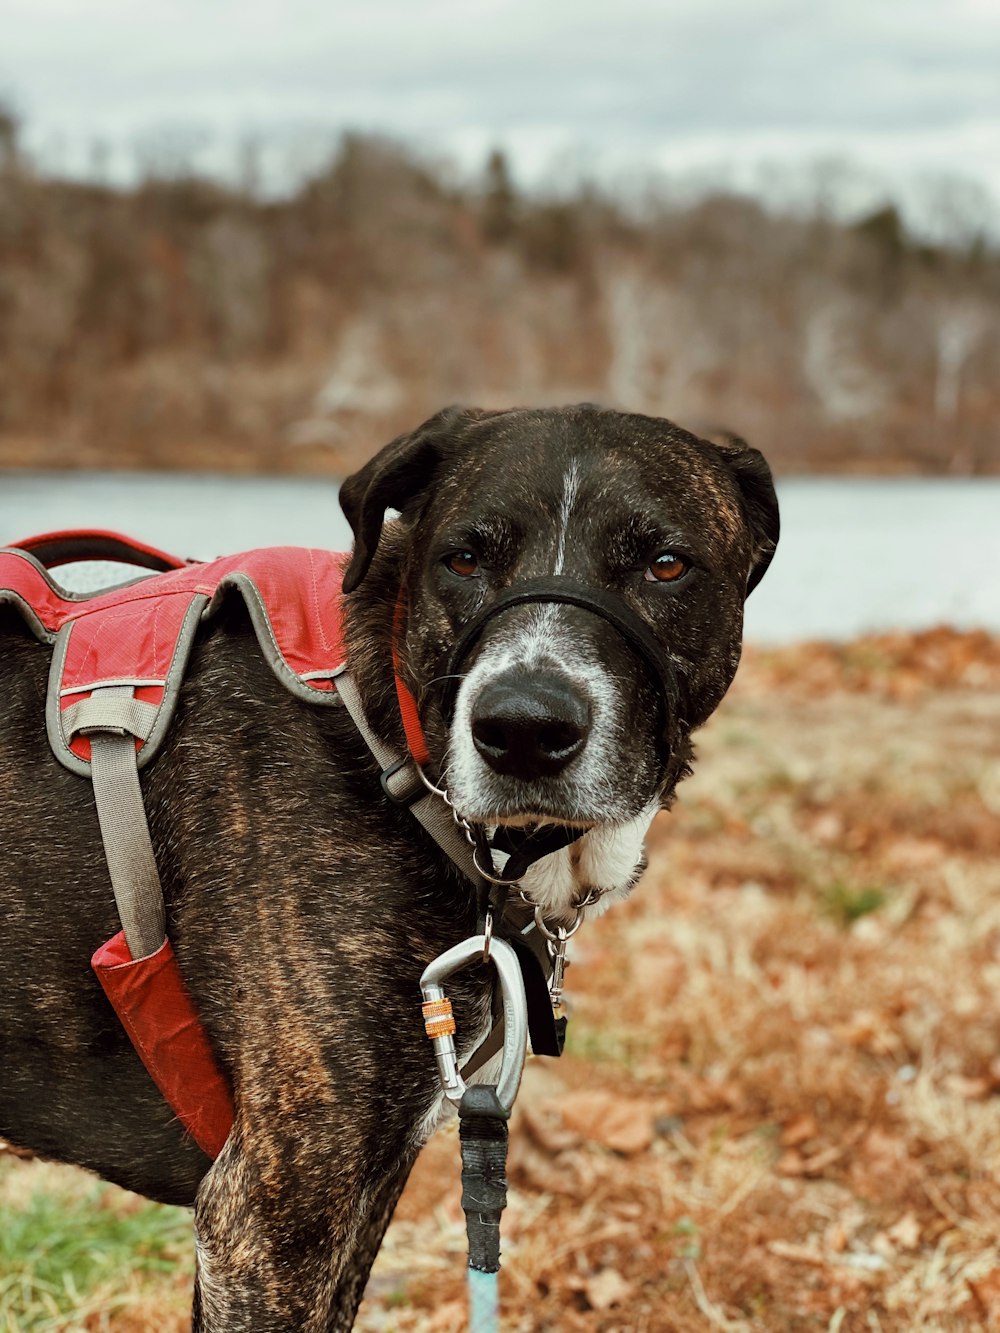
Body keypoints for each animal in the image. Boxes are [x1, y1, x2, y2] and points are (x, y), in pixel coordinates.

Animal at [0, 399, 784, 1327]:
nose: (523, 726)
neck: (394, 747)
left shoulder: (363, 1184)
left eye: (666, 564)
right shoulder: (269, 1216)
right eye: (464, 557)